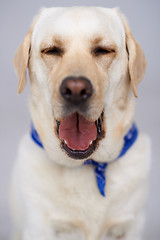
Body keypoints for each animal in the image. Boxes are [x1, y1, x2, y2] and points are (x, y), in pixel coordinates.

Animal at [10, 6, 151, 240]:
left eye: (103, 50)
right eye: (51, 50)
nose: (75, 89)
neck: (85, 164)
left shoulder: (132, 225)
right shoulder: (39, 226)